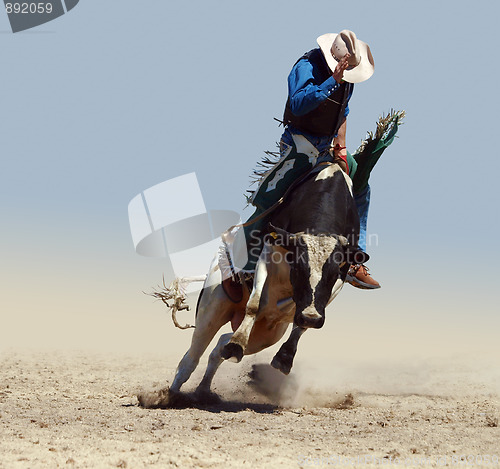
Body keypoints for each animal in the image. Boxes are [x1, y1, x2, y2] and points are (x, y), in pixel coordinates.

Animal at [168, 164, 368, 398]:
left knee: (218, 348)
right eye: (298, 268)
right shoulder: (268, 250)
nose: (311, 317)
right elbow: (255, 304)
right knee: (192, 357)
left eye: (333, 273)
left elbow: (300, 322)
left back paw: (204, 389)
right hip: (212, 308)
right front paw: (239, 342)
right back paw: (171, 395)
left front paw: (284, 357)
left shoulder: (339, 279)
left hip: (264, 336)